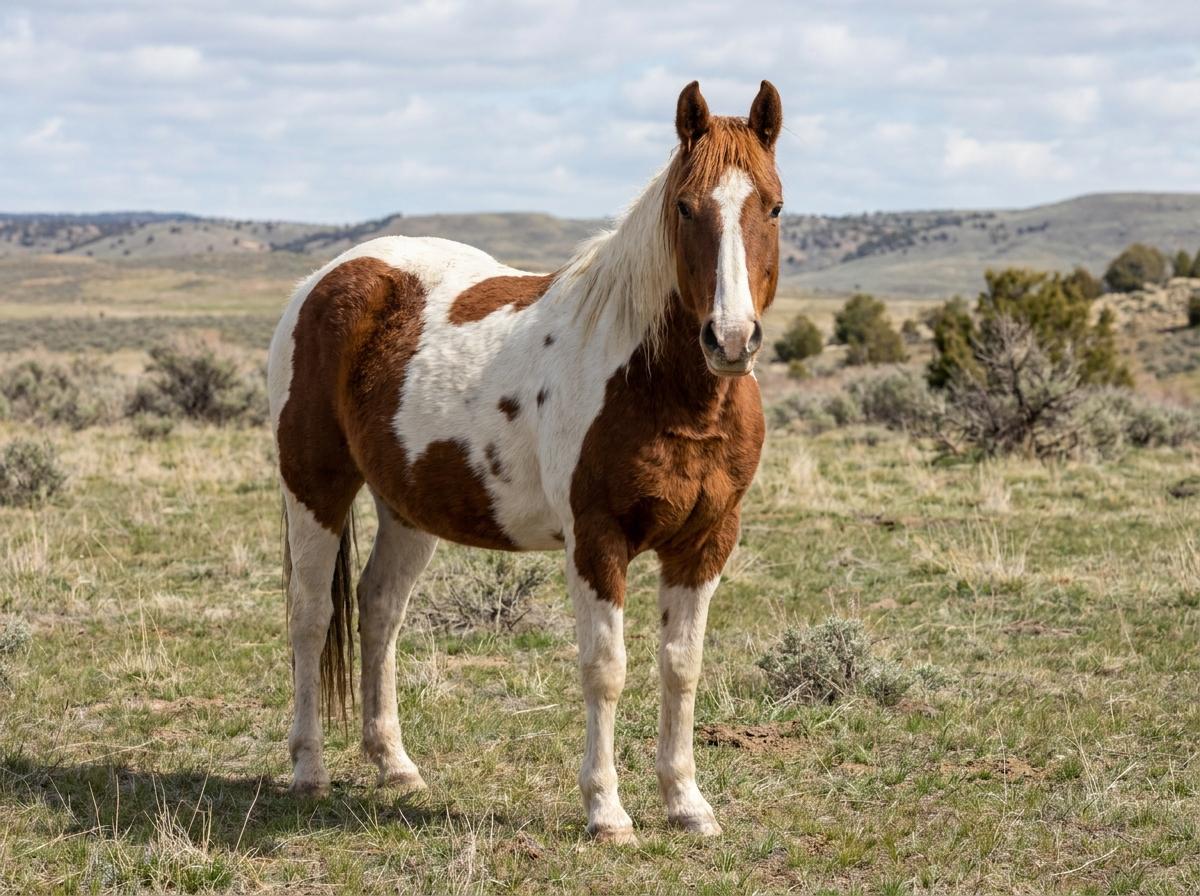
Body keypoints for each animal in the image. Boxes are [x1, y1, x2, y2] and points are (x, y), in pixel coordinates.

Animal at [266, 79, 783, 842]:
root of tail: (329, 278)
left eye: (773, 206)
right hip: (315, 487)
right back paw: (309, 769)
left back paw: (395, 764)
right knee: (310, 616)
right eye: (686, 207)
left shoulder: (706, 540)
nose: (731, 338)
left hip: (407, 507)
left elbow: (681, 667)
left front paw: (687, 803)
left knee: (379, 609)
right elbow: (605, 668)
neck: (654, 380)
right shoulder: (595, 540)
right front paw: (607, 812)